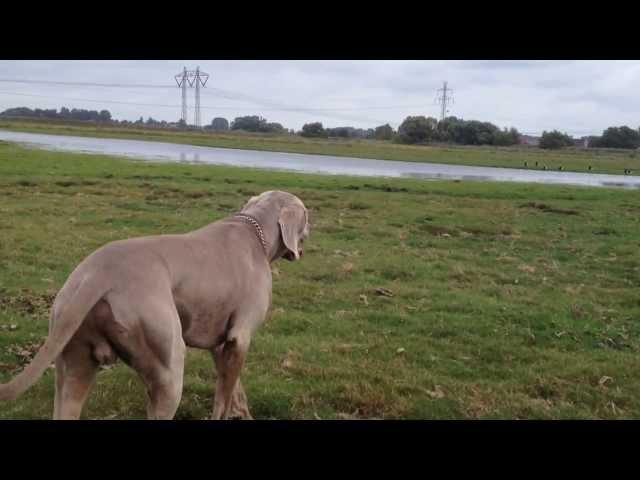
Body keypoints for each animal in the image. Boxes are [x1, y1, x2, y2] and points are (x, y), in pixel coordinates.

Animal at [0, 189, 310, 418]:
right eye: (308, 216)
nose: (311, 230)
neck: (254, 231)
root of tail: (99, 273)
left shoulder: (221, 342)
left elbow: (234, 389)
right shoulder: (240, 337)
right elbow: (223, 397)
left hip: (73, 361)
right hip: (168, 366)